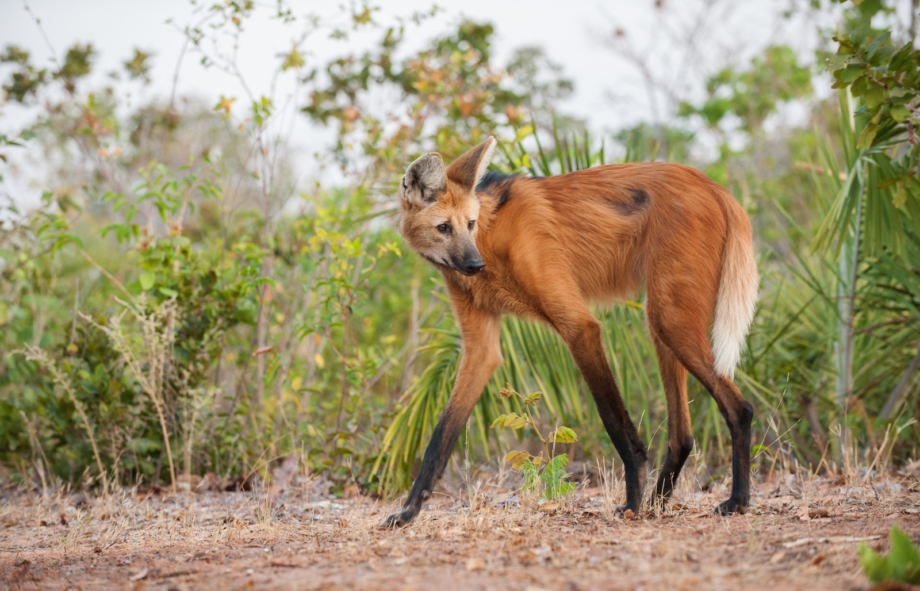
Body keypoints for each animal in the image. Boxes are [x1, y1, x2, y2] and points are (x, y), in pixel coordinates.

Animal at [384, 138, 760, 528]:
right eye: (444, 227)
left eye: (469, 224)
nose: (474, 265)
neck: (491, 238)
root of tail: (716, 187)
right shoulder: (481, 348)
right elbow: (440, 437)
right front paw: (408, 511)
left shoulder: (579, 326)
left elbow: (614, 422)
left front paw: (631, 503)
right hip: (662, 320)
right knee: (682, 436)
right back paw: (659, 503)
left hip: (670, 320)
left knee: (740, 407)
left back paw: (736, 500)